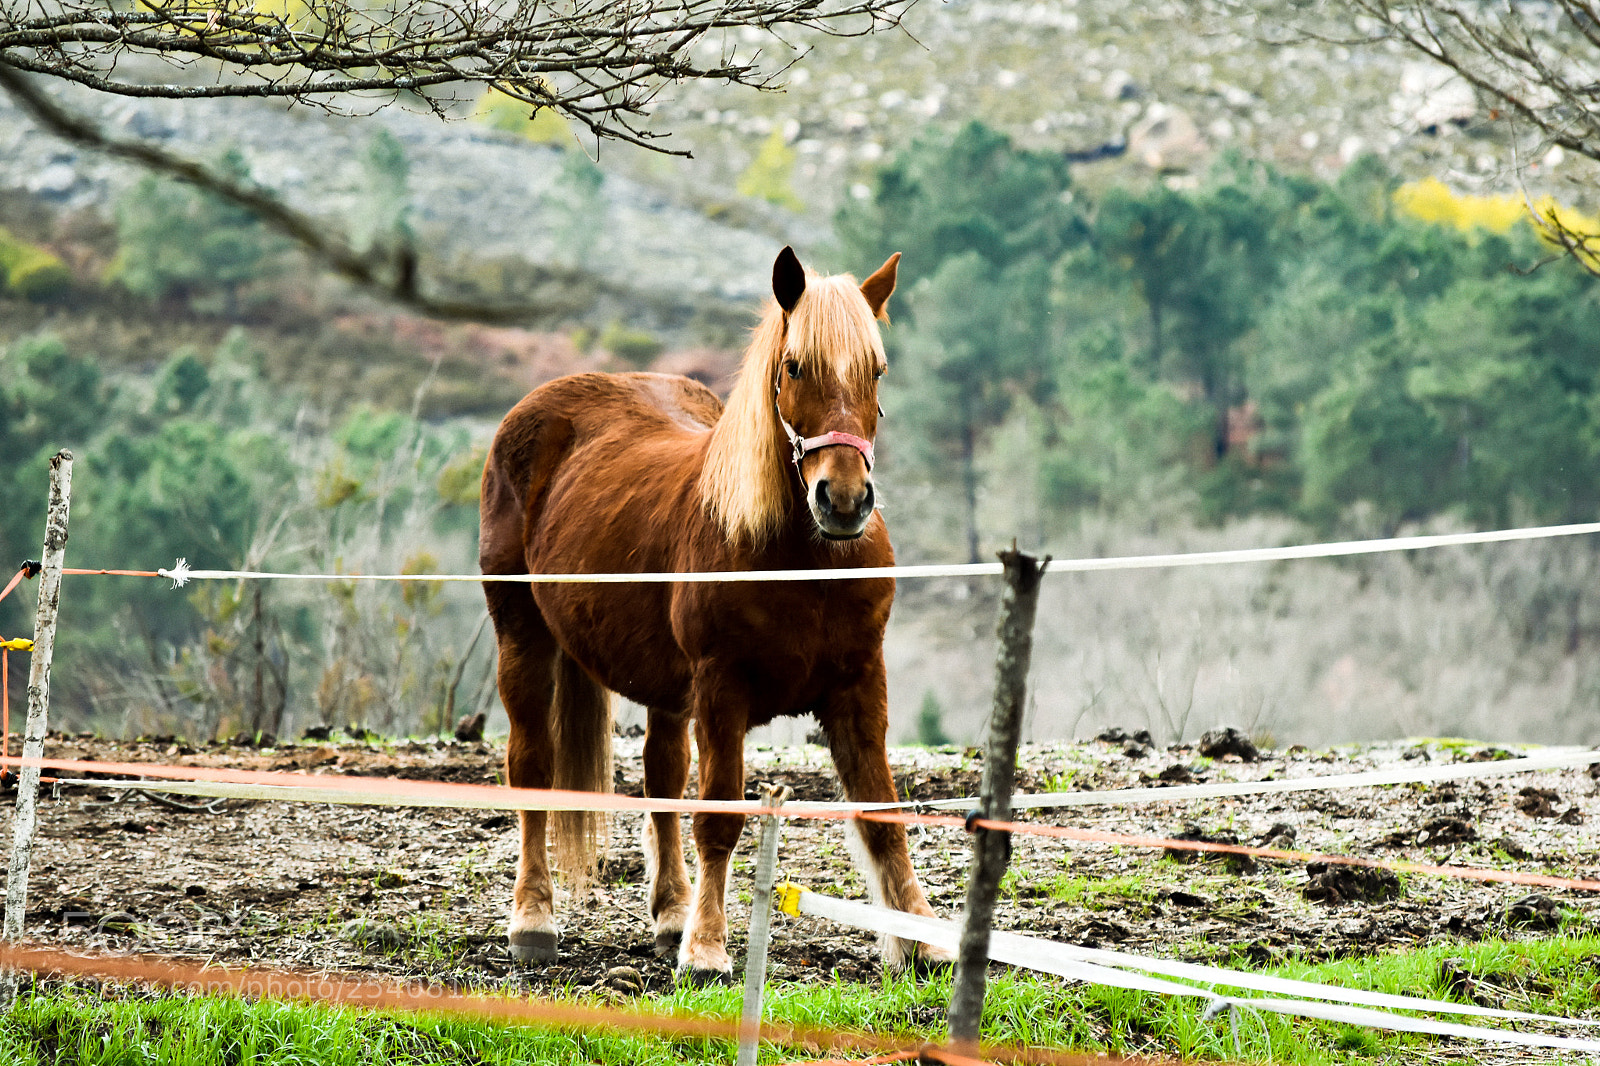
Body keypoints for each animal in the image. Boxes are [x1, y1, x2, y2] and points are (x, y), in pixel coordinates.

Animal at [478, 246, 948, 982]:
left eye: (876, 370)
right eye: (795, 366)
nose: (843, 500)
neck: (801, 563)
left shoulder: (858, 687)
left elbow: (880, 815)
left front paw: (921, 941)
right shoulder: (722, 692)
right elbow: (720, 817)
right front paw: (706, 951)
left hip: (665, 686)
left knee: (662, 775)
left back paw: (669, 913)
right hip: (522, 640)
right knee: (532, 767)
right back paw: (534, 921)